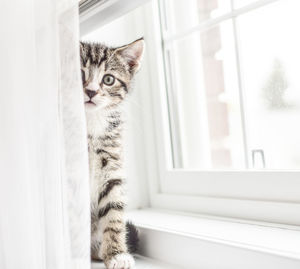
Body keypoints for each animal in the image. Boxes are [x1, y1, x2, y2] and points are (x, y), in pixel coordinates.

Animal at [80, 38, 145, 268]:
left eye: (108, 79)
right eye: (79, 73)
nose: (91, 91)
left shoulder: (112, 168)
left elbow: (114, 211)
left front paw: (117, 253)